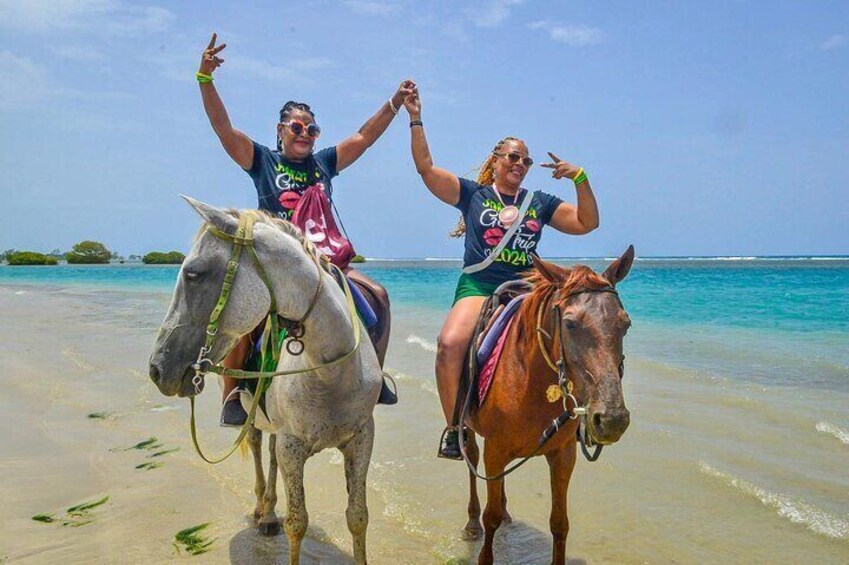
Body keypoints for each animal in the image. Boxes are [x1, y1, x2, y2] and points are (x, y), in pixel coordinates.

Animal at [149, 196, 380, 560]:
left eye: (193, 273)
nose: (157, 369)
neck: (330, 372)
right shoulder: (291, 446)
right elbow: (297, 524)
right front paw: (276, 517)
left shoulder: (361, 439)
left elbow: (357, 517)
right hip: (252, 414)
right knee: (259, 446)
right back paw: (264, 511)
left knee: (270, 453)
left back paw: (270, 511)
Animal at [460, 247, 632, 564]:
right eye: (570, 324)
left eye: (625, 324)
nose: (612, 420)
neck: (530, 381)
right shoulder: (495, 450)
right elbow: (490, 517)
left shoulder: (563, 454)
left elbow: (560, 522)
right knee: (472, 460)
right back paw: (472, 523)